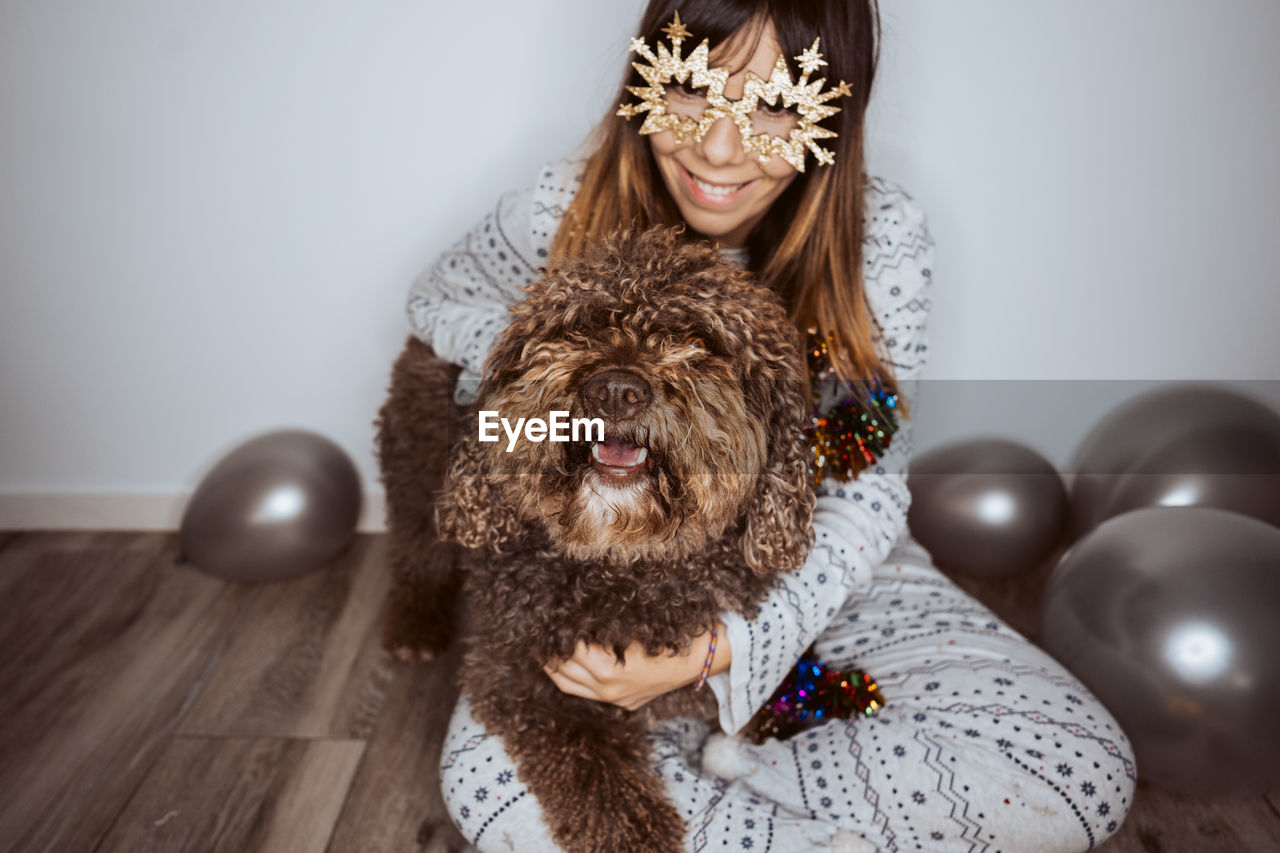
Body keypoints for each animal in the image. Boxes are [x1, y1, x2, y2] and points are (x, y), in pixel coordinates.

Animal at [373, 225, 808, 850]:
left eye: (698, 340)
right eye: (578, 327)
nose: (616, 389)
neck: (626, 562)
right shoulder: (519, 673)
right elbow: (590, 761)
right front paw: (639, 834)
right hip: (415, 463)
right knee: (415, 547)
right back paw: (413, 623)